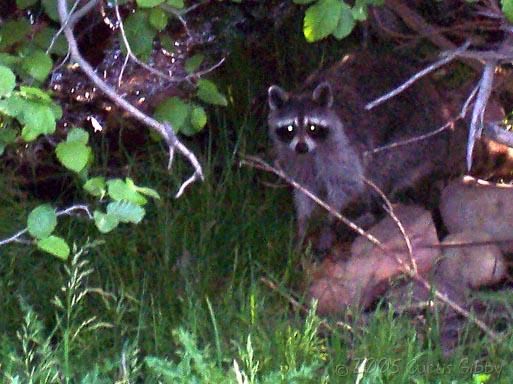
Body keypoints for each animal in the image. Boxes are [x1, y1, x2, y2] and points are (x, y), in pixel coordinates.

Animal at [268, 51, 464, 249]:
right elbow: (304, 187)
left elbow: (347, 184)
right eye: (290, 128)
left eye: (312, 127)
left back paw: (373, 209)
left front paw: (330, 220)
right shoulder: (293, 156)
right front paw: (303, 224)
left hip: (415, 134)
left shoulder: (344, 145)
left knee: (383, 168)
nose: (301, 146)